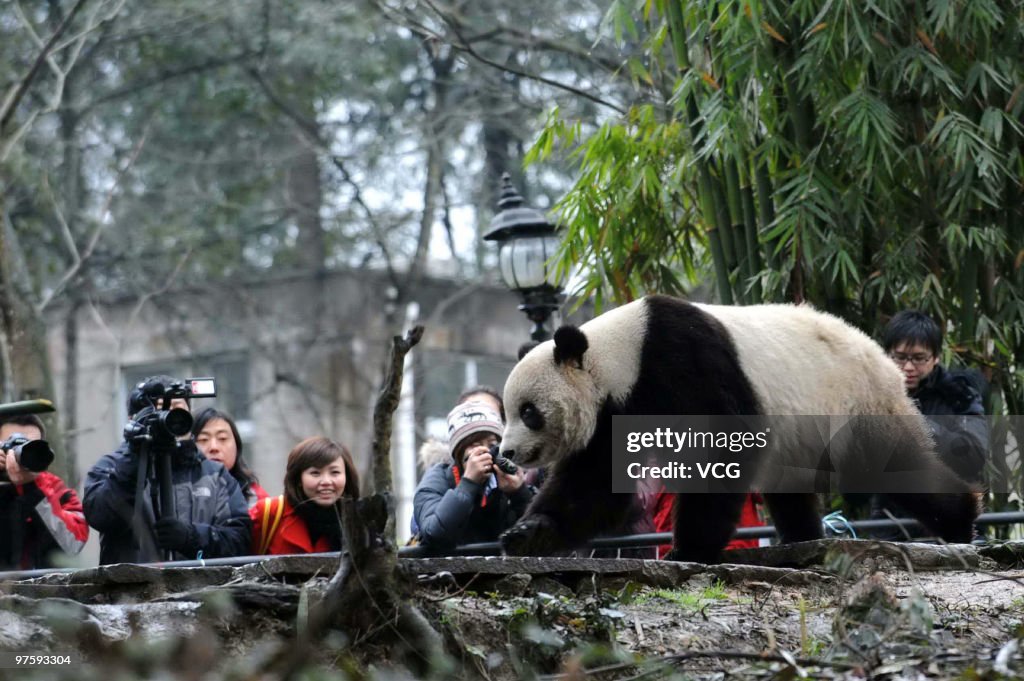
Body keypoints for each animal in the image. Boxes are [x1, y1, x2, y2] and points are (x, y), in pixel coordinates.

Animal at [499, 294, 978, 561]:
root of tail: (882, 357)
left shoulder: (684, 361)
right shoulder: (615, 414)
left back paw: (961, 520)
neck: (617, 357)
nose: (506, 455)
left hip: (855, 403)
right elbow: (595, 483)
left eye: (528, 412)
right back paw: (803, 537)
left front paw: (688, 550)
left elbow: (725, 448)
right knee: (791, 486)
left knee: (891, 466)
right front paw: (528, 533)